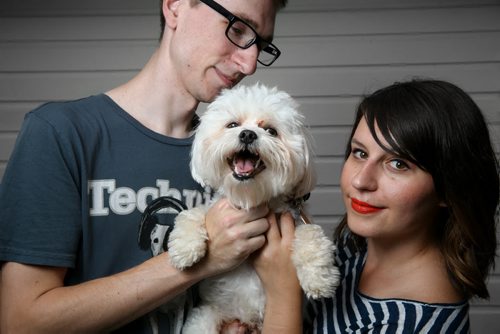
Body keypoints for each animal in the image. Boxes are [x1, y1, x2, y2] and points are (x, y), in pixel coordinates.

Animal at [169, 84, 340, 334]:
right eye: (232, 125)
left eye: (270, 130)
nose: (248, 134)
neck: (251, 199)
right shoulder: (217, 208)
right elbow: (193, 213)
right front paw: (185, 247)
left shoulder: (297, 218)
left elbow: (311, 234)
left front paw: (319, 278)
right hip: (205, 317)